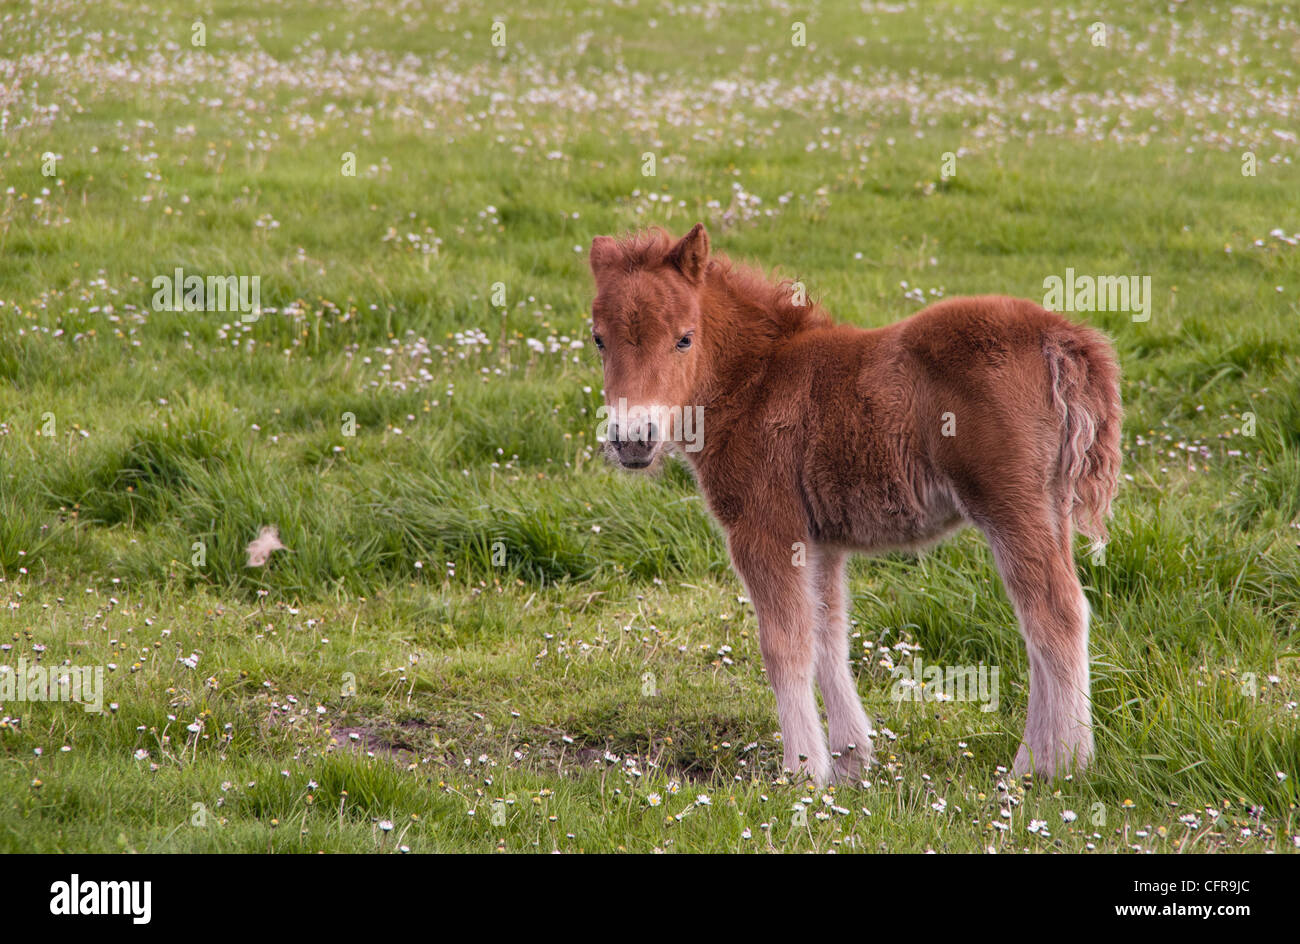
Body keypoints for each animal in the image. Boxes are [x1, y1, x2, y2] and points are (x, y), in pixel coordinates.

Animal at [590, 224, 1118, 785]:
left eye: (684, 338)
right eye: (599, 339)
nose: (632, 439)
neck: (756, 382)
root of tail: (1057, 337)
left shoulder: (763, 527)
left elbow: (784, 645)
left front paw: (801, 771)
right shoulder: (820, 540)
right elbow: (829, 636)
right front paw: (850, 762)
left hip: (1010, 504)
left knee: (1056, 613)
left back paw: (1056, 765)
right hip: (1050, 504)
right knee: (1044, 620)